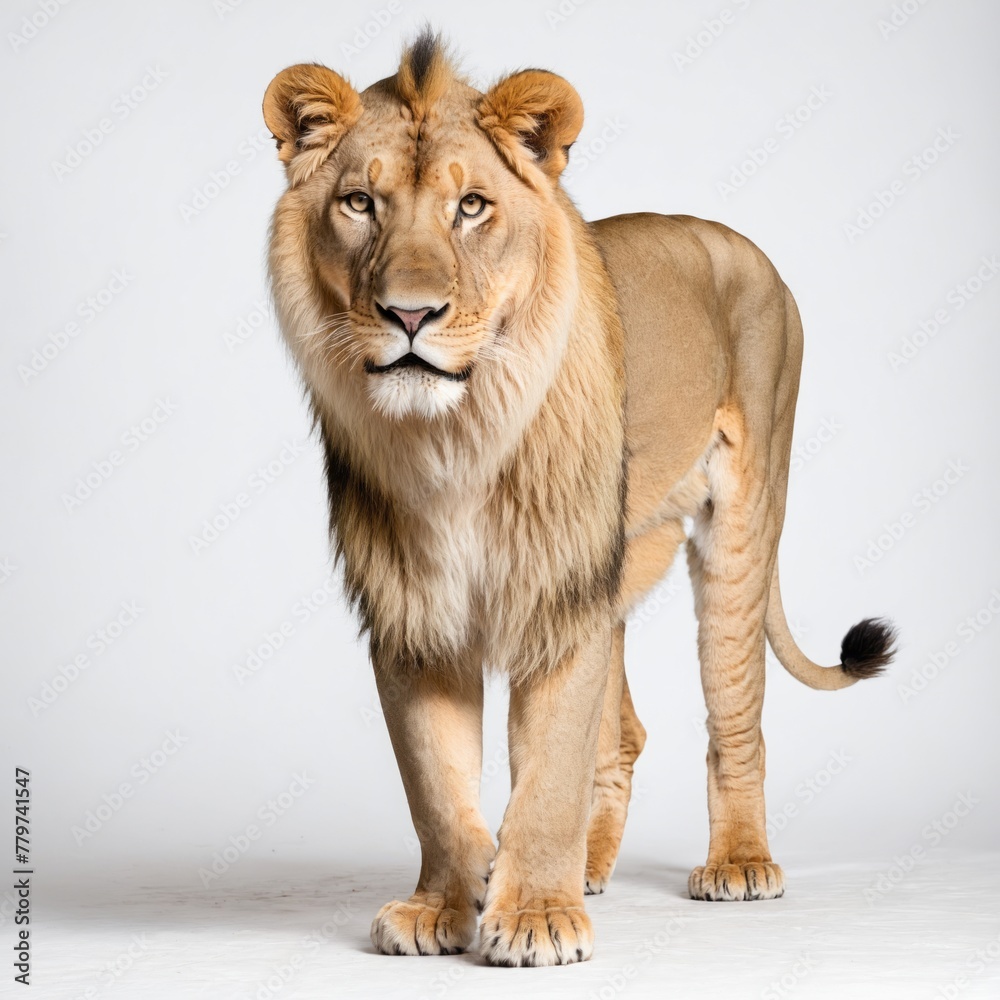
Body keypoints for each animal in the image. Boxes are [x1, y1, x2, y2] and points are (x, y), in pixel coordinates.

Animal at [262, 31, 896, 967]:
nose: (409, 316)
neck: (456, 439)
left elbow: (550, 771)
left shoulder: (559, 598)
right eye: (359, 203)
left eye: (472, 207)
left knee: (735, 715)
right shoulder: (414, 611)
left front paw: (532, 916)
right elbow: (435, 784)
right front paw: (447, 902)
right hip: (614, 566)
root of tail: (739, 243)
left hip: (741, 525)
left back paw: (739, 864)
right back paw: (588, 869)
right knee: (622, 733)